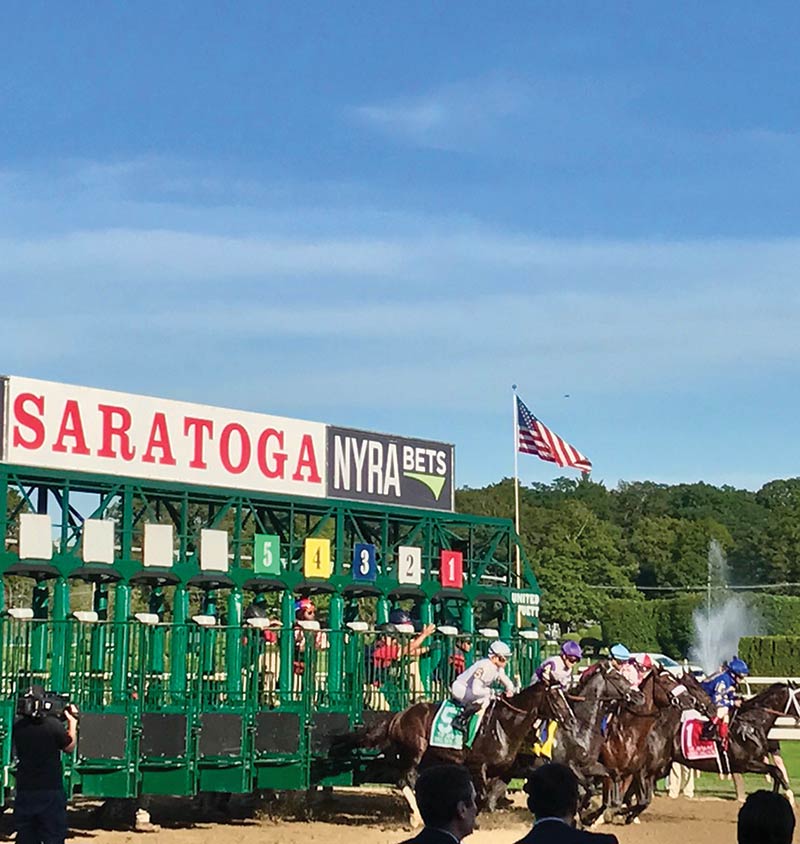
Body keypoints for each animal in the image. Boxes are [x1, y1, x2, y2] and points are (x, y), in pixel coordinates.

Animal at [338, 680, 576, 824]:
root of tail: (399, 715)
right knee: (405, 780)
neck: (504, 726)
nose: (571, 720)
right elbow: (480, 796)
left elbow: (487, 796)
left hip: (429, 756)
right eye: (556, 698)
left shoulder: (500, 770)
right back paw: (417, 818)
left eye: (565, 695)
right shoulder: (476, 765)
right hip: (413, 752)